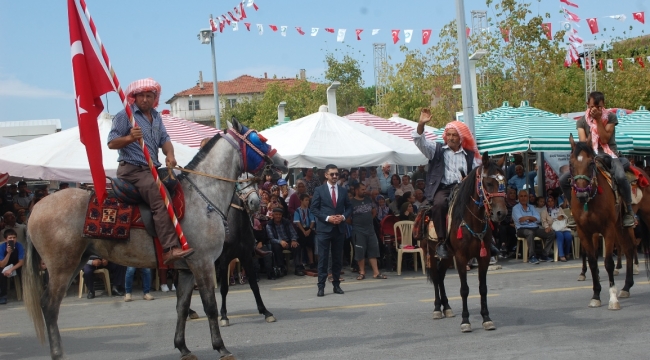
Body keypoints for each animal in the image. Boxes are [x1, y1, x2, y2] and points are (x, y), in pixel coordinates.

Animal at [218, 180, 276, 326]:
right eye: (239, 181)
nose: (254, 202)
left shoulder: (246, 257)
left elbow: (254, 285)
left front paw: (265, 312)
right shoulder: (224, 260)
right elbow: (224, 288)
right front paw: (224, 316)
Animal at [426, 151, 506, 332]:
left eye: (504, 183)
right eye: (488, 183)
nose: (501, 213)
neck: (472, 220)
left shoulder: (484, 257)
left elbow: (483, 288)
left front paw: (486, 318)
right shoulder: (461, 258)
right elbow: (464, 289)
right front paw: (465, 321)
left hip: (447, 256)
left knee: (440, 276)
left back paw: (447, 308)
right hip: (431, 253)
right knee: (435, 276)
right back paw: (437, 309)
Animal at [568, 134, 632, 308]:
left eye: (591, 163)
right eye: (571, 164)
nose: (581, 194)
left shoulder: (607, 229)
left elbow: (608, 262)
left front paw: (613, 298)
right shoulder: (584, 231)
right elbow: (592, 262)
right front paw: (596, 295)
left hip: (624, 226)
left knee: (631, 250)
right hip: (618, 227)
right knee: (628, 250)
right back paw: (626, 287)